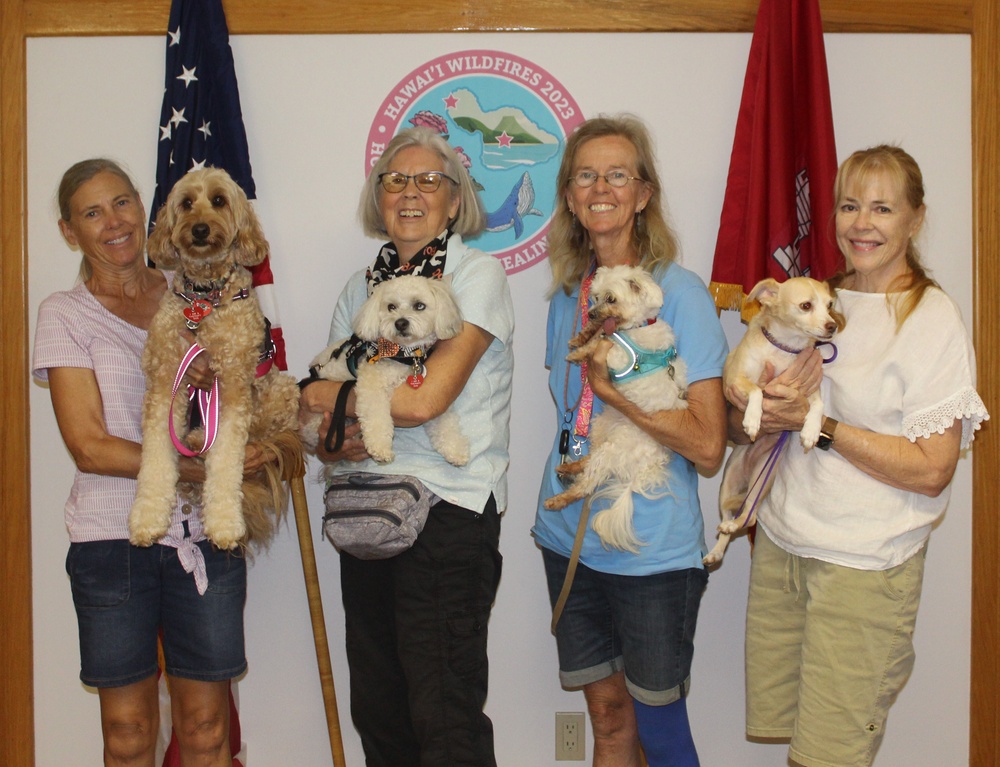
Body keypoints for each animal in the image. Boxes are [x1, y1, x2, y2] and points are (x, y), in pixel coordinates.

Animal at [131, 168, 300, 552]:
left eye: (219, 200)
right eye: (186, 203)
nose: (199, 229)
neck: (204, 298)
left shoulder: (233, 383)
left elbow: (225, 459)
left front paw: (224, 524)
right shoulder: (166, 380)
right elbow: (155, 456)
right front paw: (147, 519)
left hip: (281, 388)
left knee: (260, 433)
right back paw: (193, 444)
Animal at [300, 276, 468, 468]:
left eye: (419, 305)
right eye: (391, 307)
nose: (400, 323)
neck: (403, 354)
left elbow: (446, 423)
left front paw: (456, 450)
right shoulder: (371, 384)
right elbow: (376, 415)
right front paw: (380, 449)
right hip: (318, 421)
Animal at [544, 264, 692, 552]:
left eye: (611, 298)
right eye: (595, 297)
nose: (591, 313)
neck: (634, 328)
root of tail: (647, 466)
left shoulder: (617, 357)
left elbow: (597, 346)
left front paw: (579, 352)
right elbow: (598, 334)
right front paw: (581, 336)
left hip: (612, 450)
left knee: (586, 485)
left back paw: (558, 499)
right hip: (603, 425)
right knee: (589, 458)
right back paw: (569, 467)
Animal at [704, 276, 844, 564]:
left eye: (829, 305)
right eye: (805, 305)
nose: (832, 326)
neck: (785, 348)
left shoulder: (807, 390)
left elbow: (818, 405)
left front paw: (810, 432)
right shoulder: (736, 381)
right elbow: (757, 390)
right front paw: (753, 420)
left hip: (762, 480)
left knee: (749, 515)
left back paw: (732, 527)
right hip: (727, 483)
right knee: (733, 516)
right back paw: (718, 548)